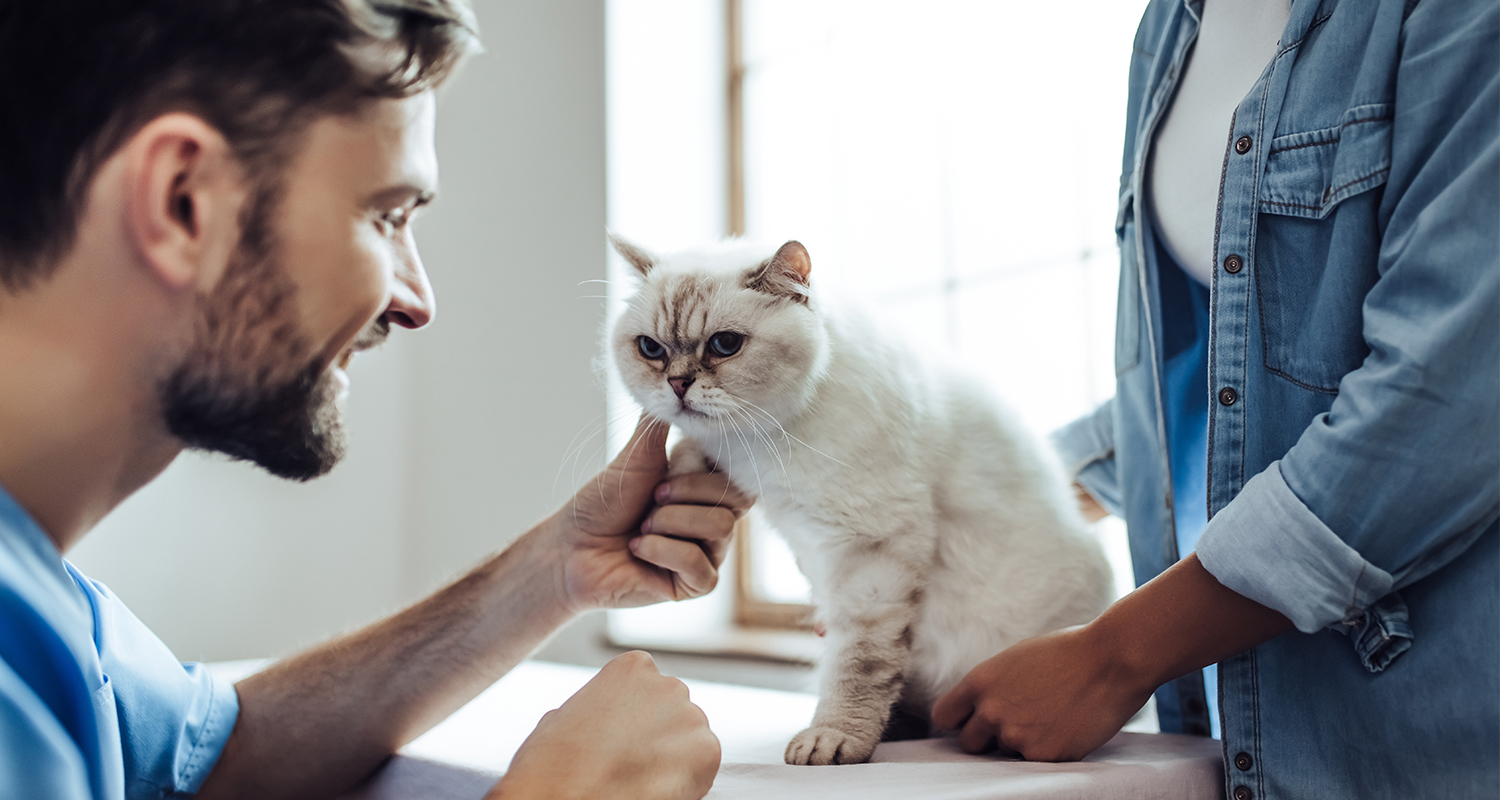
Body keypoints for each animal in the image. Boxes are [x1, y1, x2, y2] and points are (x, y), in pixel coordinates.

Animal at [609, 235, 1116, 762]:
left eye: (725, 345)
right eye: (651, 349)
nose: (677, 385)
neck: (758, 444)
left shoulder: (868, 551)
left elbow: (859, 664)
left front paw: (833, 739)